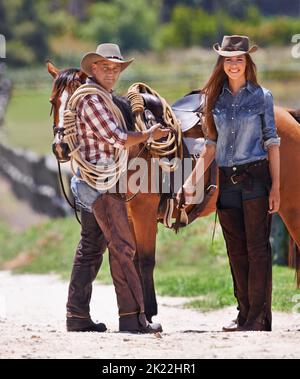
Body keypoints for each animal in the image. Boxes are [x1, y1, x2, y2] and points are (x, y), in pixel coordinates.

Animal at [47, 60, 300, 322]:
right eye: (53, 102)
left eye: (77, 105)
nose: (60, 147)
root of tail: (287, 114)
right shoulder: (128, 214)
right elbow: (133, 257)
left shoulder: (144, 212)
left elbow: (146, 260)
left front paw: (148, 314)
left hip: (292, 204)